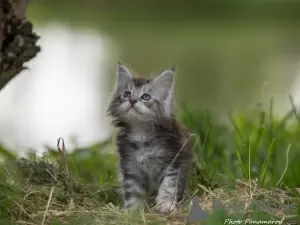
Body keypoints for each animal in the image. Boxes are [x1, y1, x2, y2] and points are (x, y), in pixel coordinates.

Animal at [106, 61, 193, 213]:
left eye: (145, 97)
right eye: (127, 94)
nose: (132, 100)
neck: (141, 133)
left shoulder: (173, 161)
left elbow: (168, 186)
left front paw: (165, 205)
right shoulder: (130, 166)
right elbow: (133, 191)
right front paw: (132, 211)